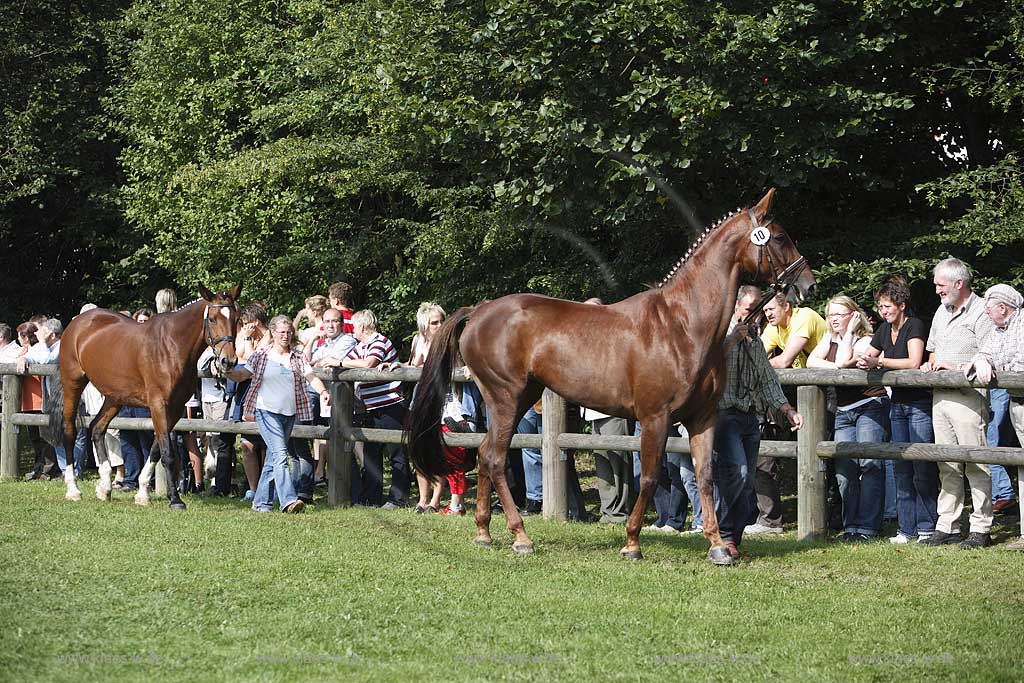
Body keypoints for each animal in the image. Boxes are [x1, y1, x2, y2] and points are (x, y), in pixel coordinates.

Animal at [52, 282, 242, 507]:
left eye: (236, 319)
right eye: (212, 319)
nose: (228, 361)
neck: (172, 346)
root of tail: (77, 323)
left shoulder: (176, 407)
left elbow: (156, 449)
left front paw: (142, 492)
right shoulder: (159, 404)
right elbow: (167, 452)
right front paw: (175, 499)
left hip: (115, 397)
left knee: (97, 428)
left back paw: (105, 487)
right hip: (73, 384)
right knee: (70, 432)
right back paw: (73, 489)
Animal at [407, 188, 815, 565]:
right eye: (780, 237)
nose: (807, 284)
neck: (683, 325)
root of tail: (478, 311)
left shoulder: (702, 418)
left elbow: (705, 477)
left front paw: (718, 546)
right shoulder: (655, 418)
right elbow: (649, 478)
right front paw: (632, 543)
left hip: (516, 399)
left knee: (485, 455)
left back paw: (484, 533)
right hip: (506, 398)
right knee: (493, 458)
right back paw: (521, 537)